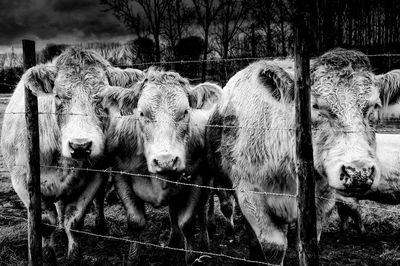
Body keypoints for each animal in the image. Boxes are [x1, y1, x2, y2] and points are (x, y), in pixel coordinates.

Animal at [0, 46, 142, 264]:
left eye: (101, 98)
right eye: (58, 96)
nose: (80, 146)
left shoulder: (93, 177)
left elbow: (74, 222)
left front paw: (74, 256)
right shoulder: (22, 181)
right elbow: (45, 224)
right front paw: (48, 256)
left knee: (98, 199)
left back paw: (100, 225)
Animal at [97, 67, 222, 264]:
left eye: (185, 112)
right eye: (141, 113)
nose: (166, 161)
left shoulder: (197, 178)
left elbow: (187, 222)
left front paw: (191, 258)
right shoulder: (120, 175)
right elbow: (136, 222)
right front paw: (133, 259)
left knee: (202, 210)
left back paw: (205, 243)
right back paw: (173, 240)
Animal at [205, 48, 400, 264]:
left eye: (375, 105)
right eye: (314, 106)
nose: (358, 172)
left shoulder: (322, 200)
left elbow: (307, 241)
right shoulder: (250, 194)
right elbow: (273, 247)